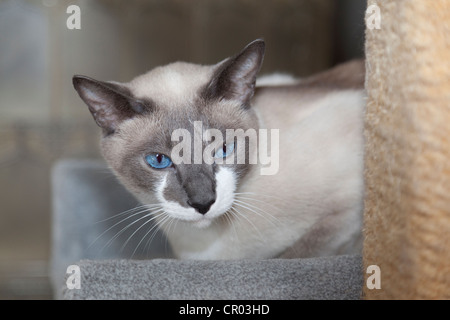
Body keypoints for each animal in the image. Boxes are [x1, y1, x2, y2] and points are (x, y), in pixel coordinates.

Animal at [71, 40, 366, 260]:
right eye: (158, 160)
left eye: (223, 149)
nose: (203, 203)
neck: (207, 248)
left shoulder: (347, 212)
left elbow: (298, 253)